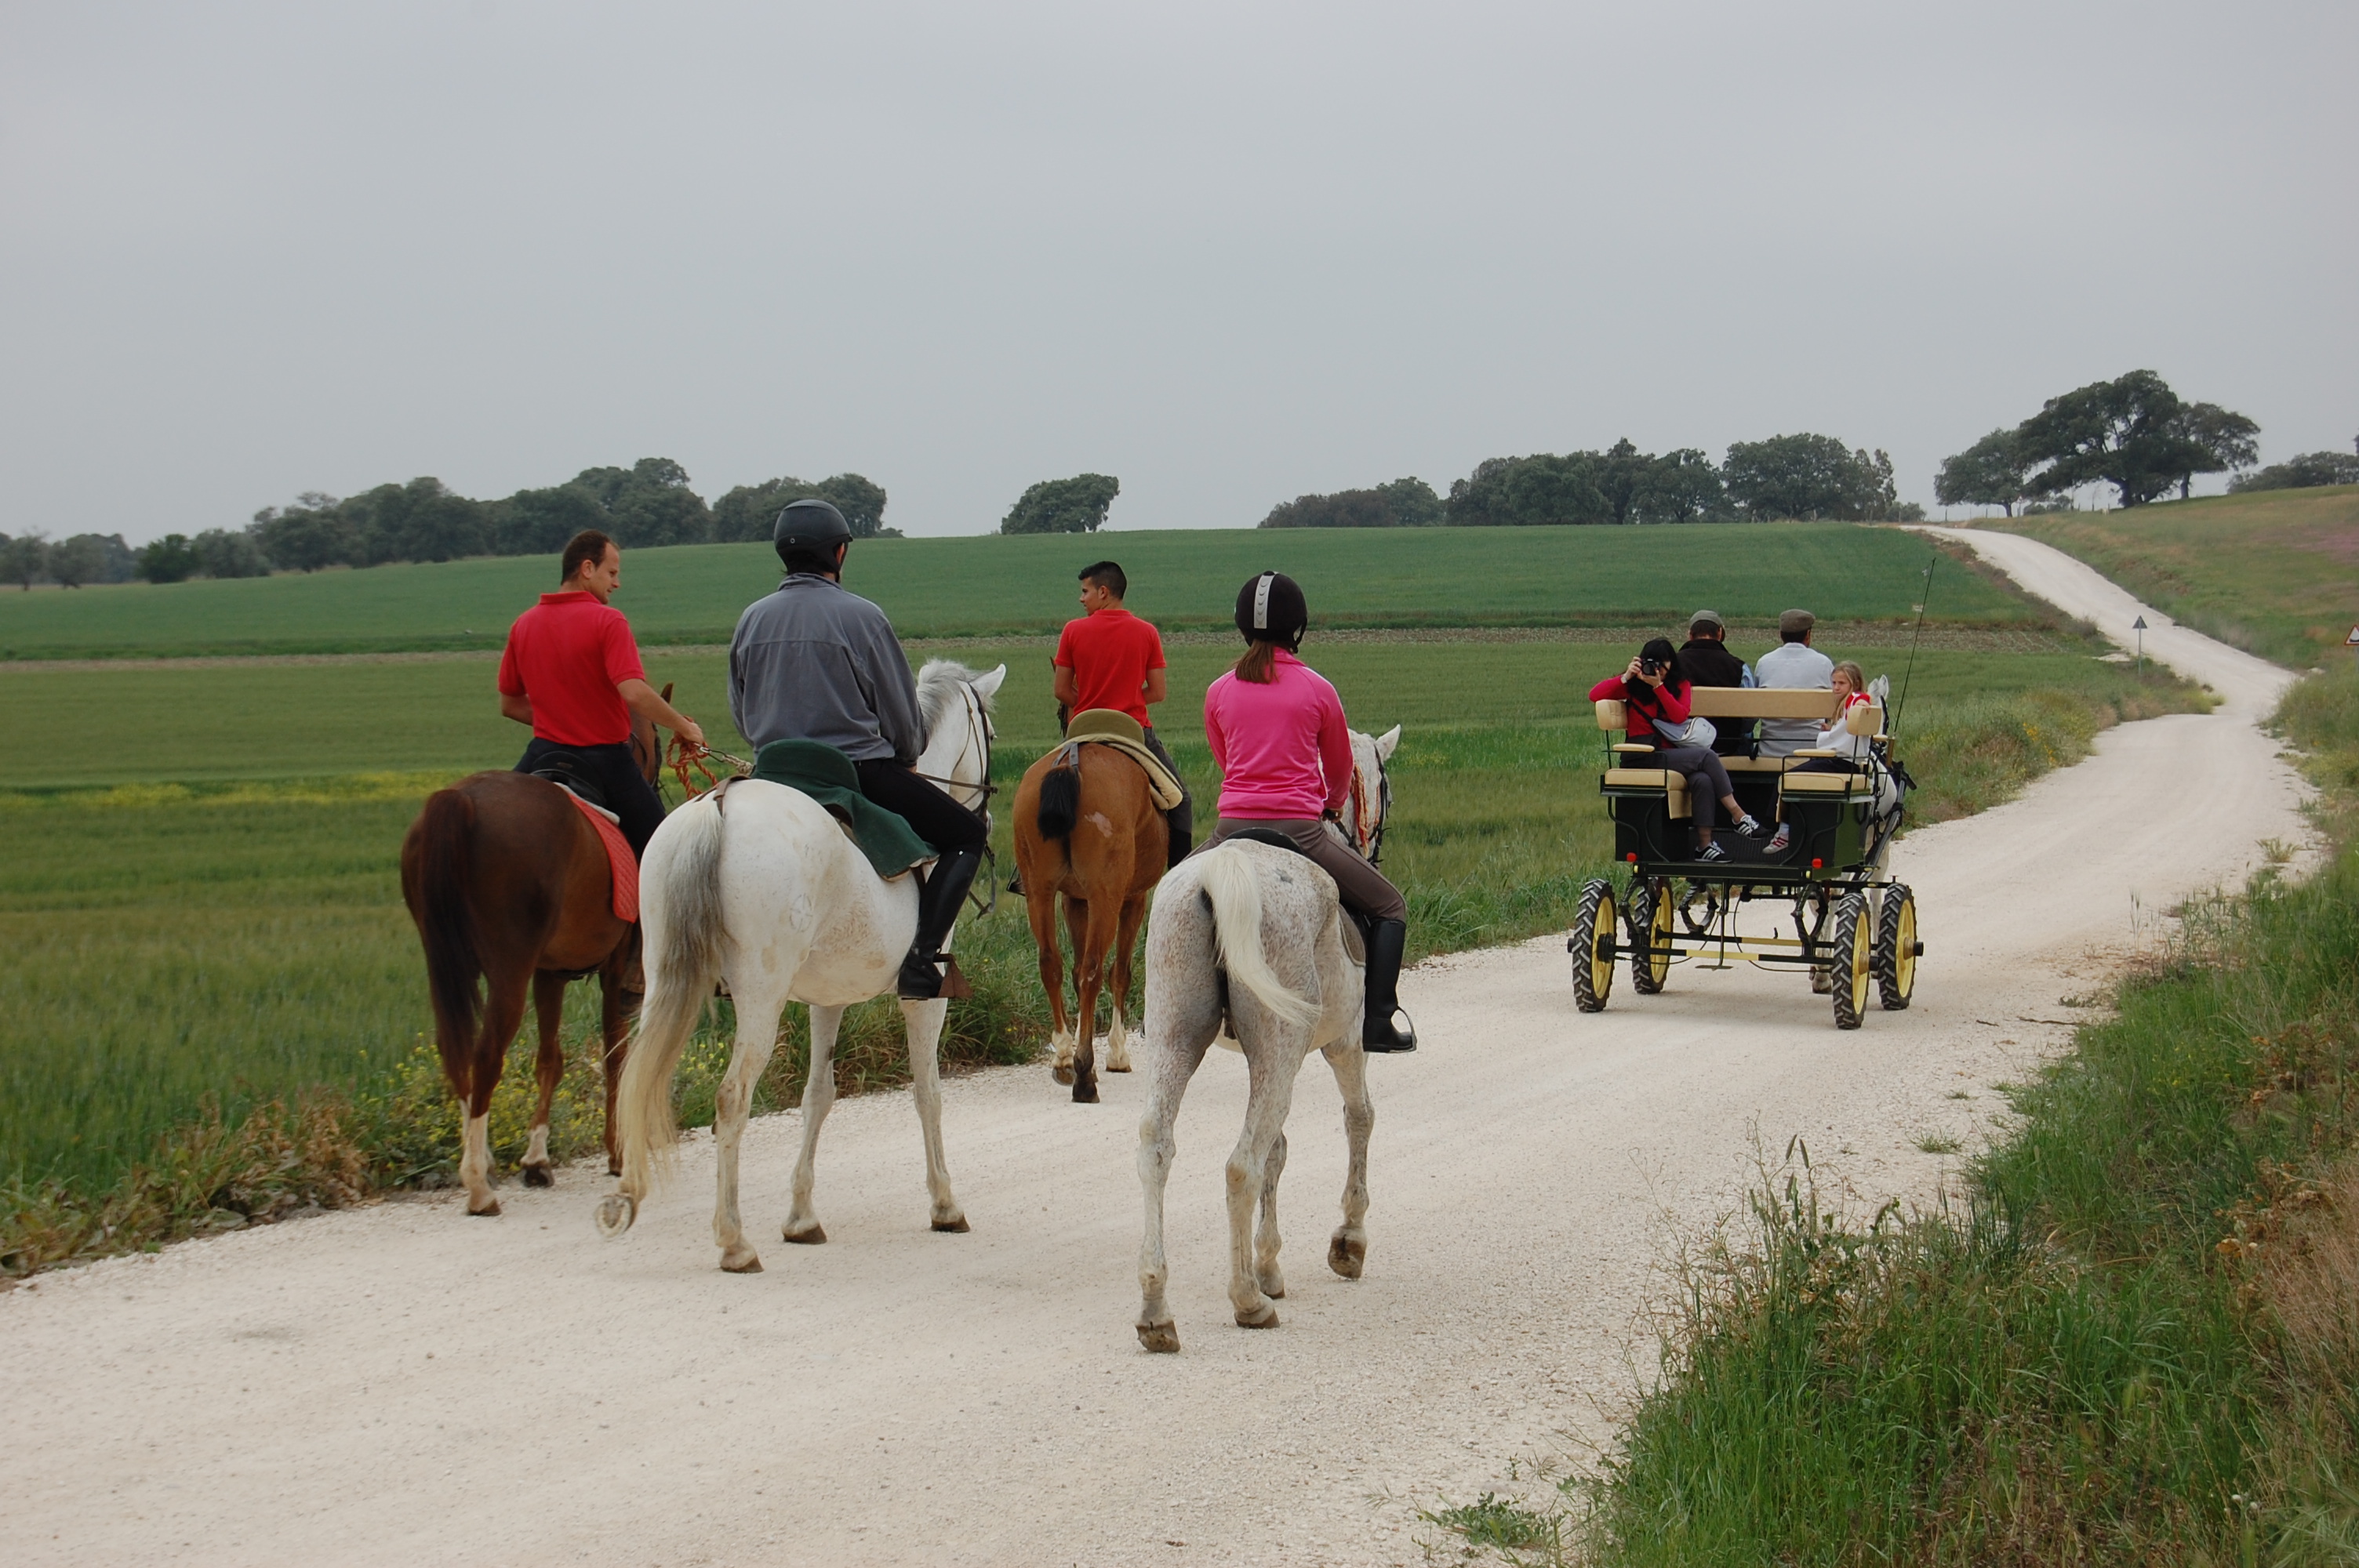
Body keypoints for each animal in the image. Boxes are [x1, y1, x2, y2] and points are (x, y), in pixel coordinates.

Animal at [401, 693, 670, 1216]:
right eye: (658, 744)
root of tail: (461, 800)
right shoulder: (610, 974)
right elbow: (615, 1057)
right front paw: (616, 1153)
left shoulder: (549, 973)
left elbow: (550, 1059)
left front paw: (537, 1159)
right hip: (510, 968)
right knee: (486, 1054)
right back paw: (479, 1186)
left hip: (447, 962)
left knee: (456, 1049)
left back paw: (481, 1162)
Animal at [594, 655, 1000, 1264]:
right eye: (990, 734)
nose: (989, 815)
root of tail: (719, 807)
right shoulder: (924, 998)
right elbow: (927, 1093)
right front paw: (945, 1205)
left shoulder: (825, 999)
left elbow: (818, 1096)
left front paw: (802, 1216)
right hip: (759, 999)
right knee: (731, 1099)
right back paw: (734, 1240)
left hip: (662, 979)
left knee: (639, 1081)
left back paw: (627, 1196)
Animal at [1009, 745, 1165, 1098]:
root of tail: (1069, 764)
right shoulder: (1133, 899)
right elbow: (1119, 974)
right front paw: (1116, 1055)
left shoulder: (1074, 900)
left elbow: (1075, 970)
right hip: (1105, 896)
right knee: (1094, 970)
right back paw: (1083, 1074)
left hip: (1039, 889)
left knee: (1051, 964)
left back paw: (1065, 1057)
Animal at [1132, 726, 1387, 1348]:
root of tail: (1221, 872)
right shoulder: (1344, 1045)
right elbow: (1358, 1120)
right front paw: (1346, 1241)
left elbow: (1281, 1149)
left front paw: (1269, 1262)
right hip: (1282, 1046)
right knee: (1240, 1164)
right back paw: (1247, 1300)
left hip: (1176, 1036)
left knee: (1156, 1146)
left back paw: (1155, 1308)